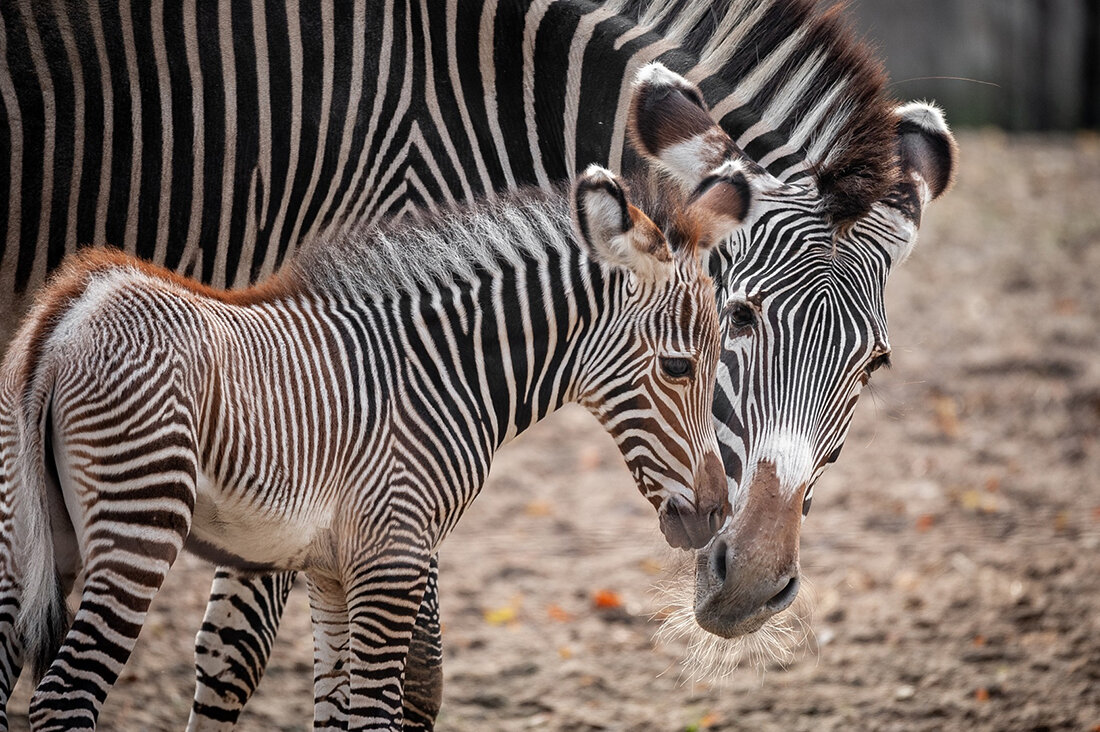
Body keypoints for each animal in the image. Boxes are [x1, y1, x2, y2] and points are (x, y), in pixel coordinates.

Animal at [0, 140, 752, 726]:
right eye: (679, 366)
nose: (715, 514)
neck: (436, 368)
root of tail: (68, 314)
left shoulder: (330, 570)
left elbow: (336, 715)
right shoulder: (393, 559)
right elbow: (371, 715)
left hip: (27, 531)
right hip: (139, 521)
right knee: (64, 698)